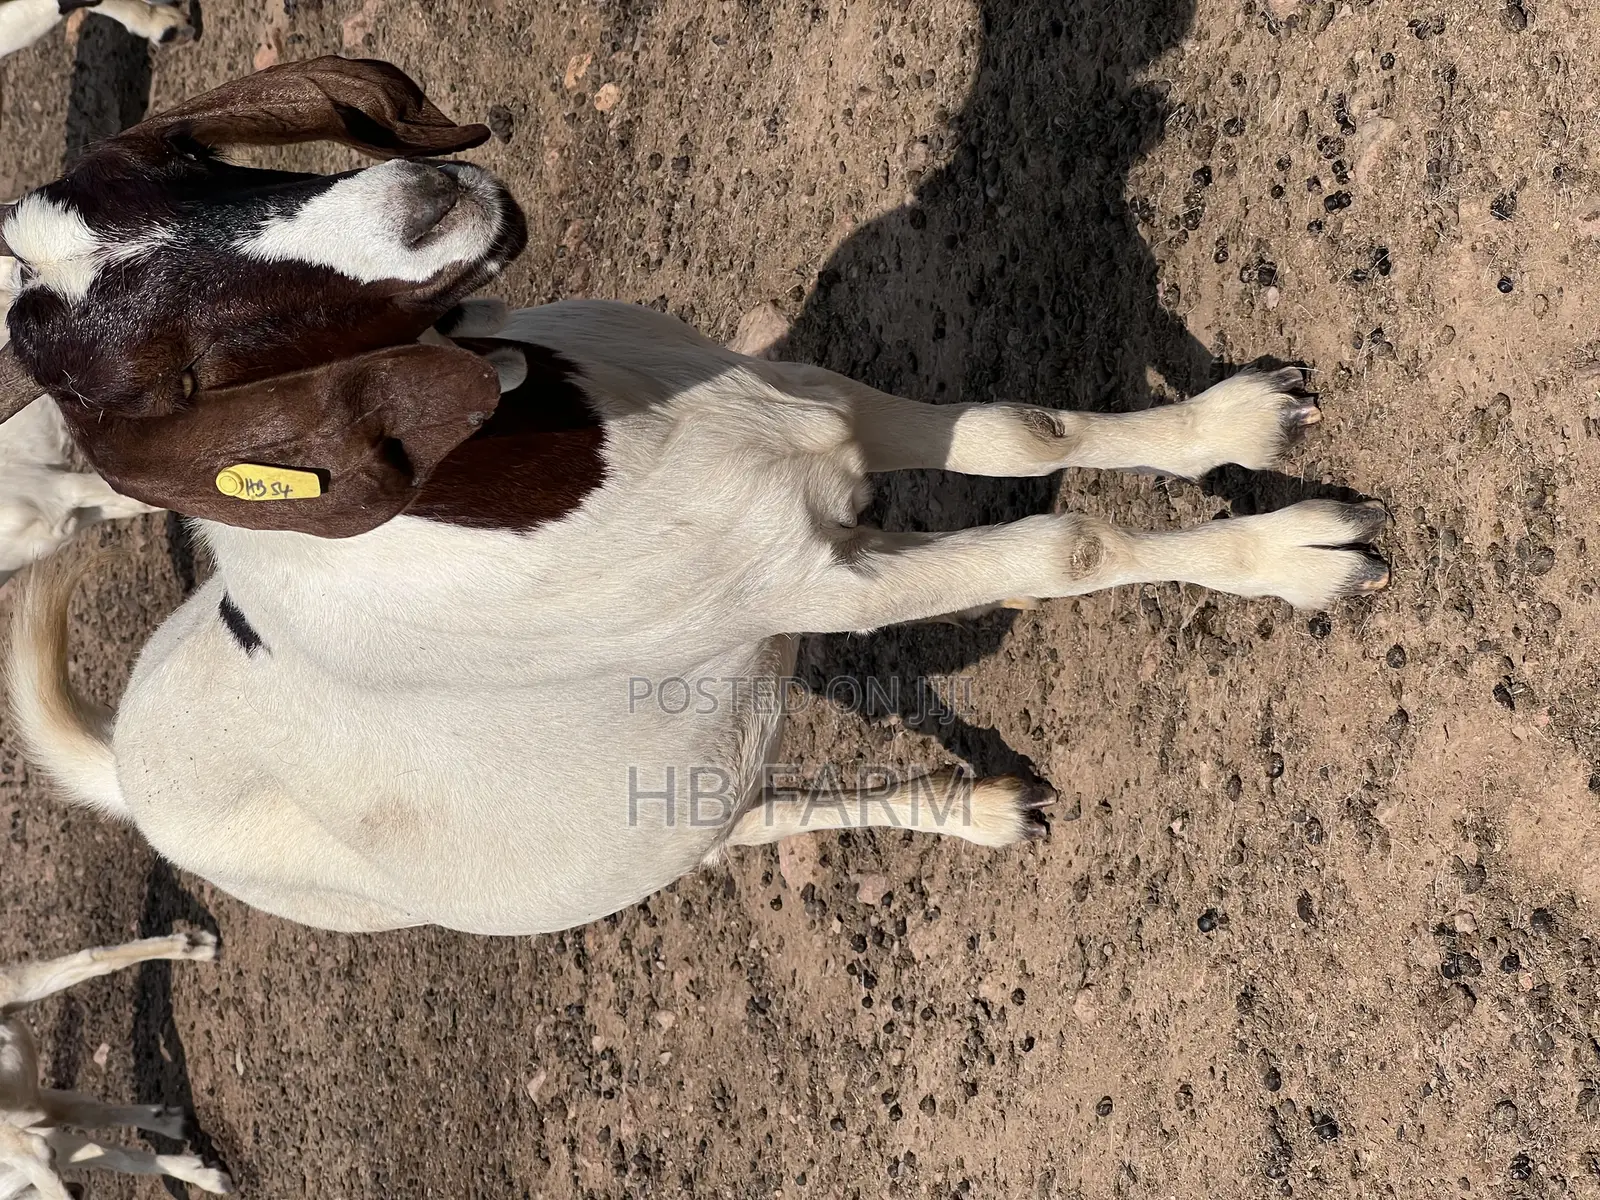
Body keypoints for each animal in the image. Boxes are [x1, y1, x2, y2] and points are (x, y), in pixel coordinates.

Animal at [0, 57, 1390, 935]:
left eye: (195, 160)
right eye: (177, 375)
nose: (427, 200)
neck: (540, 461)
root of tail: (125, 769)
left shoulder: (815, 407)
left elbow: (1016, 430)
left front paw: (1235, 421)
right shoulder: (816, 583)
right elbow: (1063, 549)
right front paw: (1302, 556)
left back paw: (990, 804)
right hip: (641, 834)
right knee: (742, 826)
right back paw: (974, 814)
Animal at [0, 934, 232, 1199]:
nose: (79, 1190)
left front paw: (204, 1174)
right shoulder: (37, 1108)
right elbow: (98, 1124)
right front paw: (175, 1129)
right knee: (89, 958)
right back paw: (197, 945)